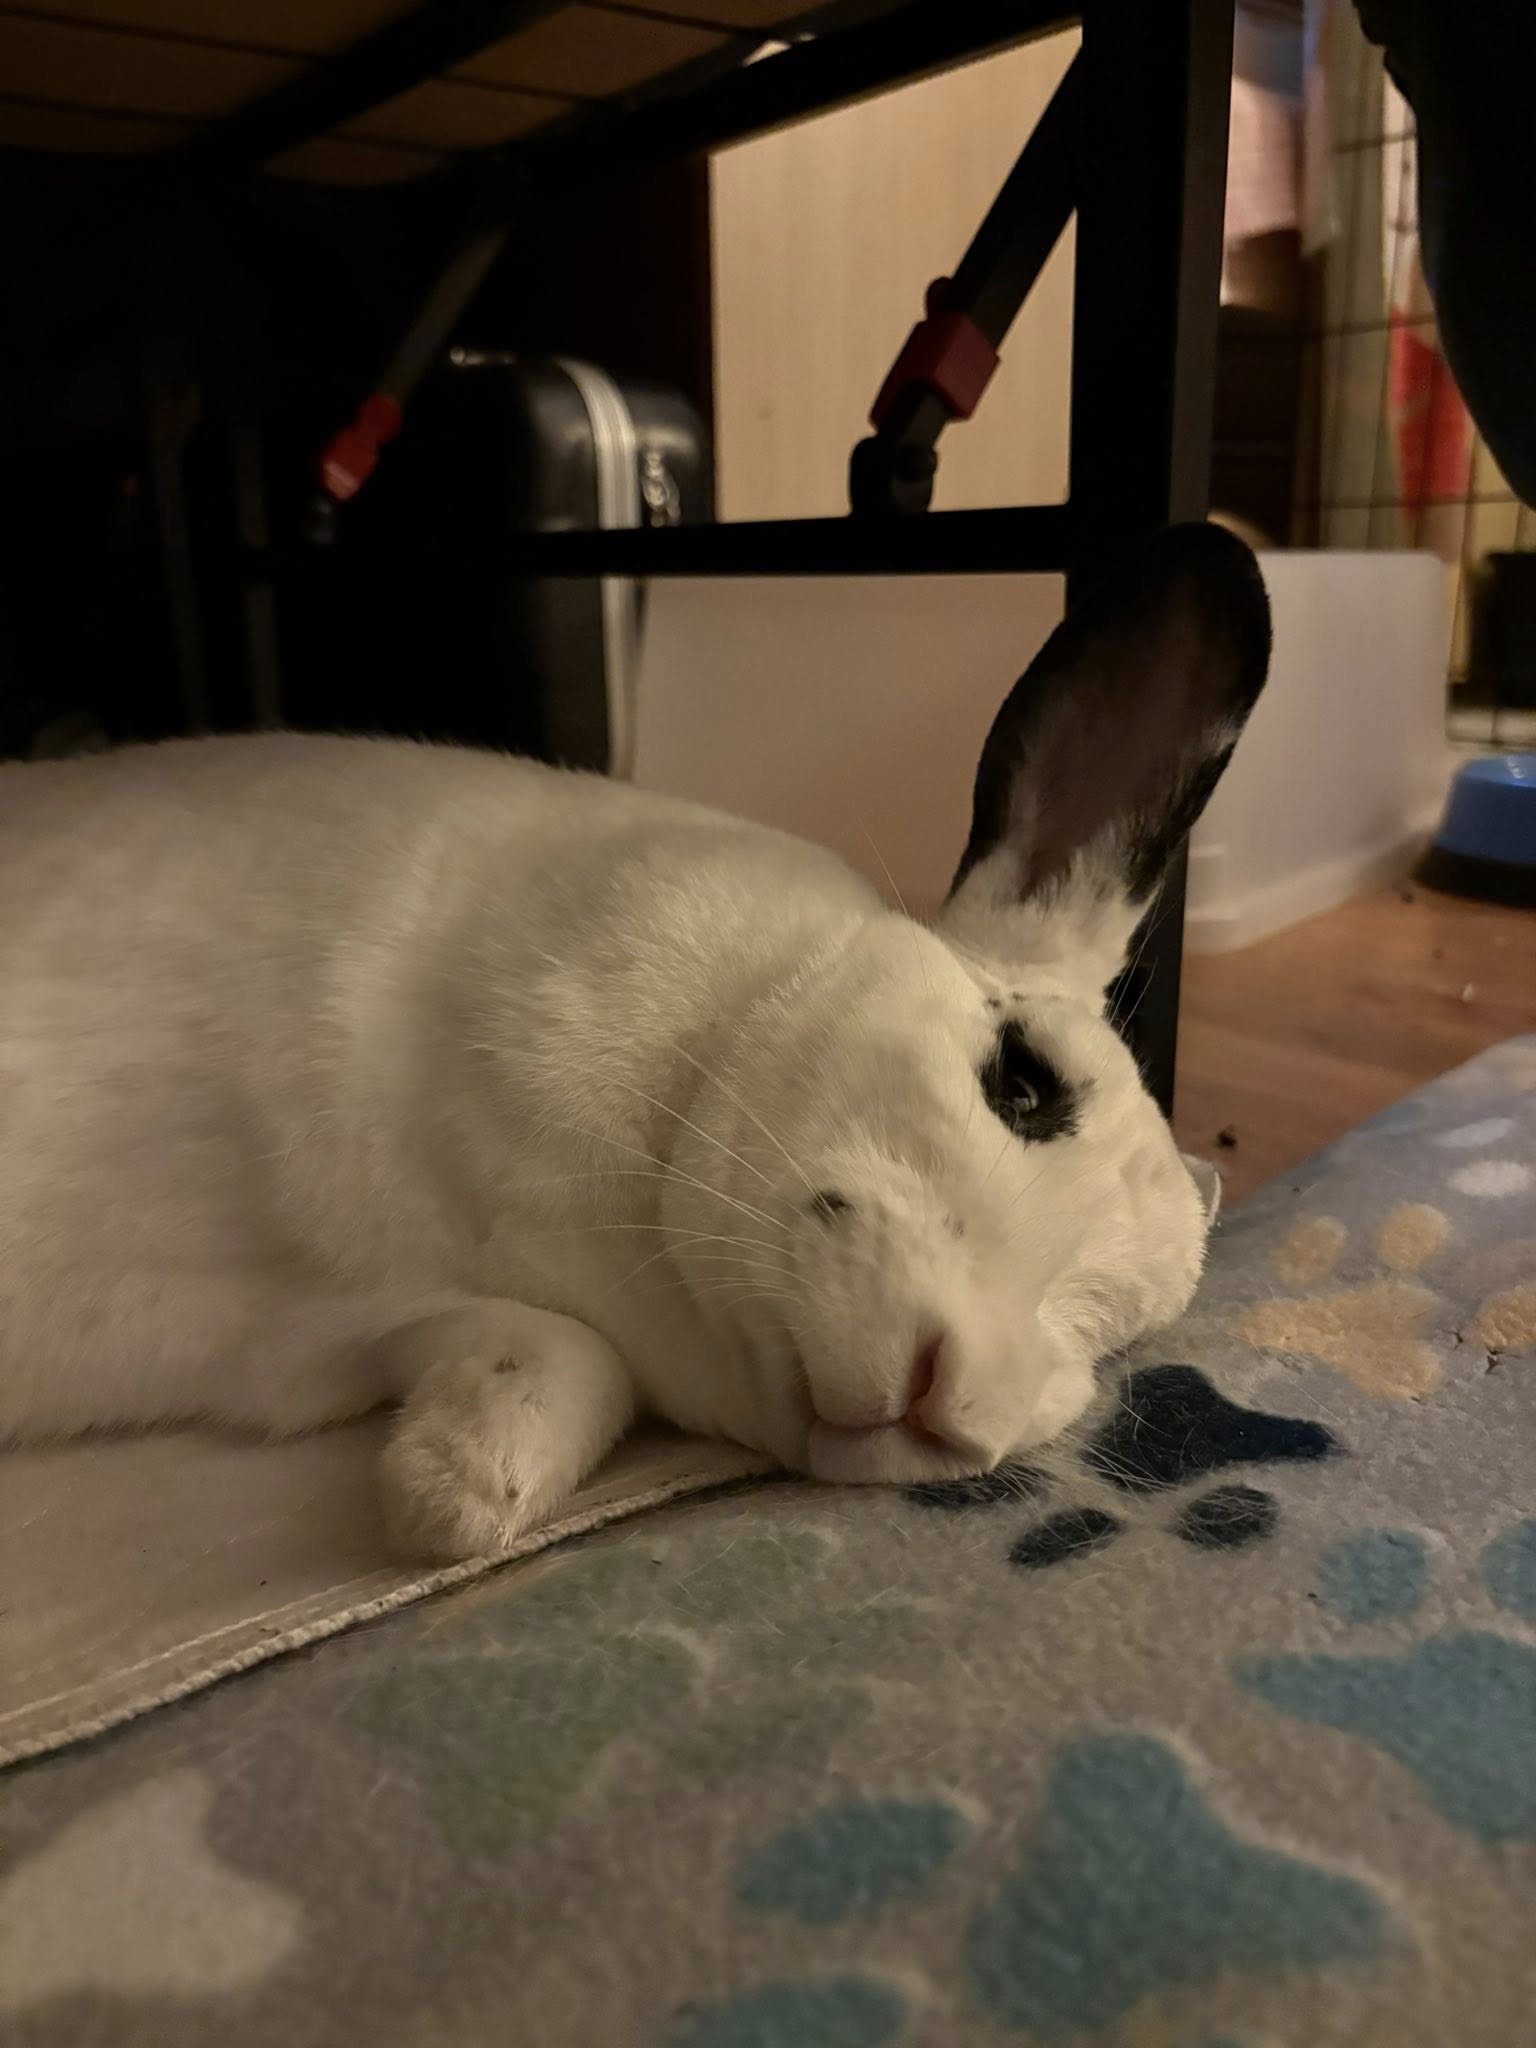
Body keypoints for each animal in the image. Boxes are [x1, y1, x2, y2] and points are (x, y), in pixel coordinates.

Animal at [0, 522, 1269, 1561]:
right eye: (1022, 1081)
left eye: (1113, 1330)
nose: (944, 1402)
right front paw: (454, 1495)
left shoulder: (315, 1333)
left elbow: (565, 1361)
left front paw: (454, 1489)